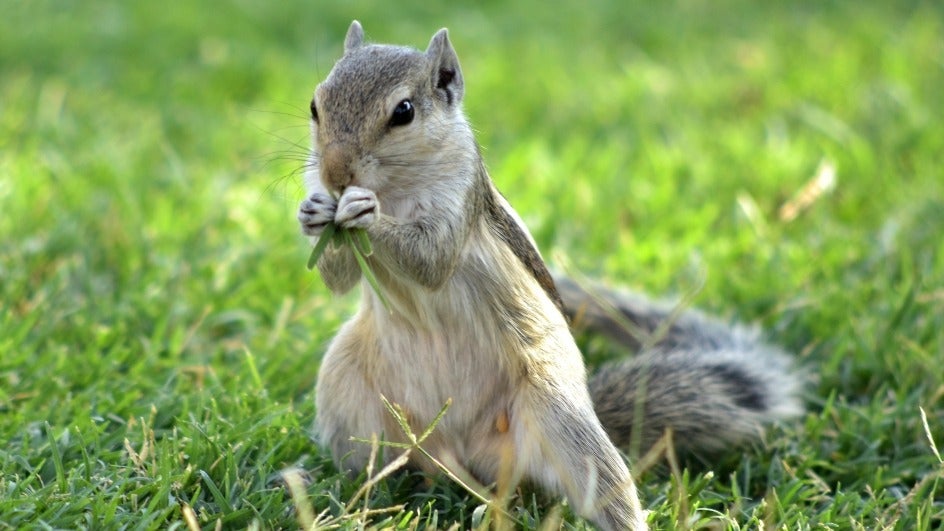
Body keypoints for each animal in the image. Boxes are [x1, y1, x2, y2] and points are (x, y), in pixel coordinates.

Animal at [296, 21, 802, 530]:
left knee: (604, 485)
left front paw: (367, 214)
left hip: (560, 415)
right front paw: (313, 212)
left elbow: (432, 259)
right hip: (346, 392)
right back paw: (349, 495)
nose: (336, 174)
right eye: (315, 104)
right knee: (384, 466)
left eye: (404, 112)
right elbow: (338, 280)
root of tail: (464, 454)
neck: (394, 189)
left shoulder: (458, 197)